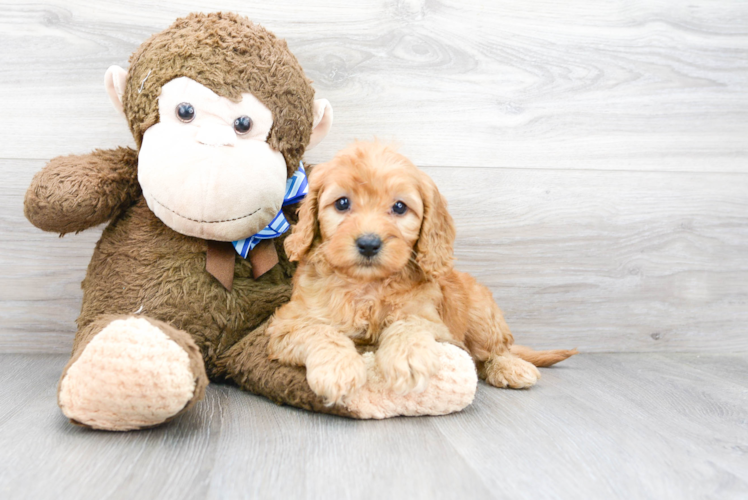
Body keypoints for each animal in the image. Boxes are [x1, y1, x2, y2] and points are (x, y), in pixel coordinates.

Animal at [268, 142, 580, 406]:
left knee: (493, 351)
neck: (368, 286)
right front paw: (338, 369)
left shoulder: (435, 323)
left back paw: (511, 367)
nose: (368, 243)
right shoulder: (288, 322)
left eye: (399, 207)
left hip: (482, 314)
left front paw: (407, 358)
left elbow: (410, 323)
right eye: (342, 203)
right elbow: (320, 331)